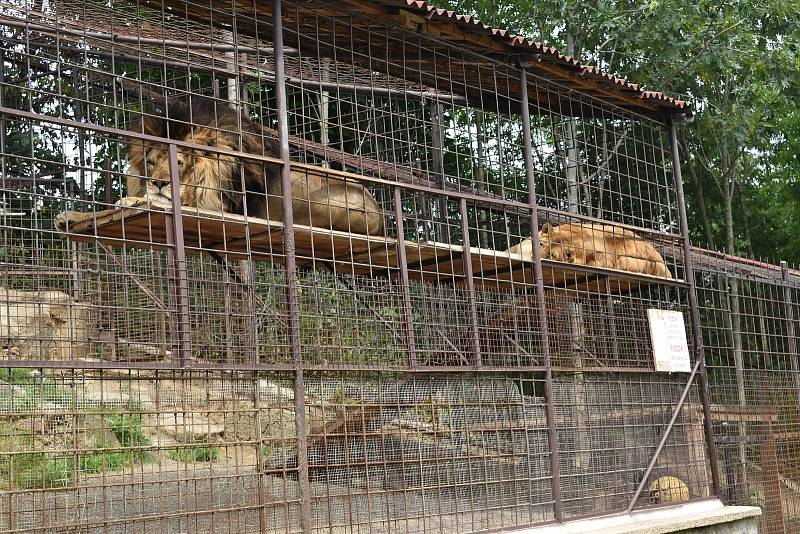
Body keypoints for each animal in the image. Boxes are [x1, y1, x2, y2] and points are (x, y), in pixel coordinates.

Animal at [125, 97, 384, 236]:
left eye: (178, 163)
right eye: (150, 163)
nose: (158, 183)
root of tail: (379, 213)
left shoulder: (223, 205)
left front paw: (132, 199)